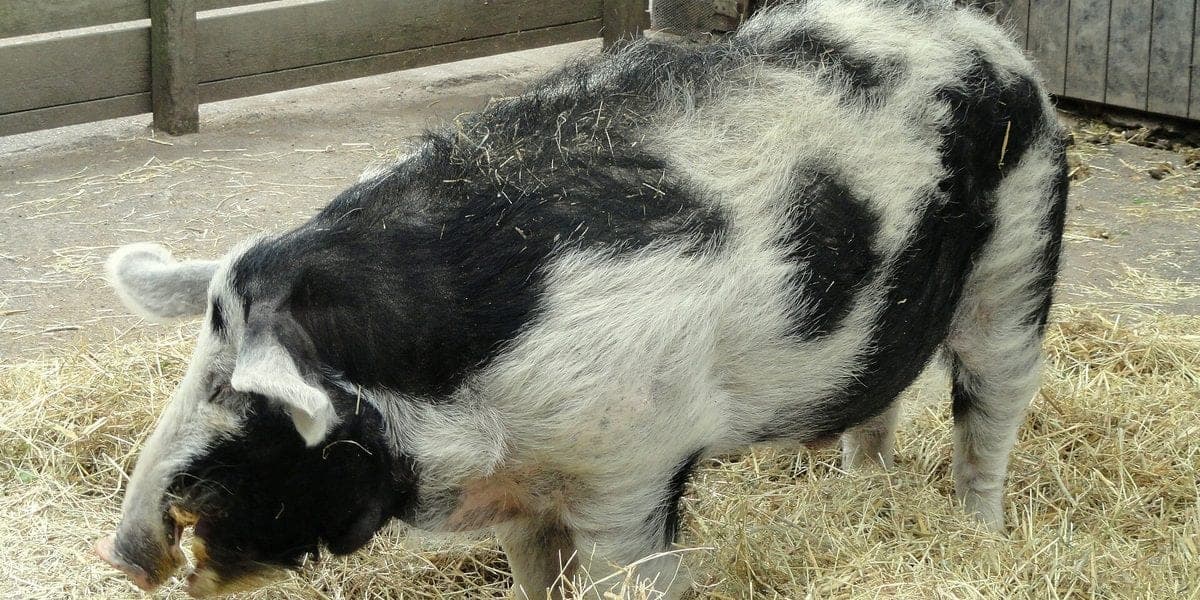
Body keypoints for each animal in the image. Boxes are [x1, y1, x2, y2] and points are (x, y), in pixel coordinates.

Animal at [96, 0, 1067, 597]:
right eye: (198, 367)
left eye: (238, 402)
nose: (127, 555)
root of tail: (988, 39)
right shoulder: (527, 498)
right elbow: (537, 581)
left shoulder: (633, 469)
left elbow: (626, 575)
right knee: (882, 403)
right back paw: (860, 491)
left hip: (1017, 265)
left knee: (990, 417)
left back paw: (981, 537)